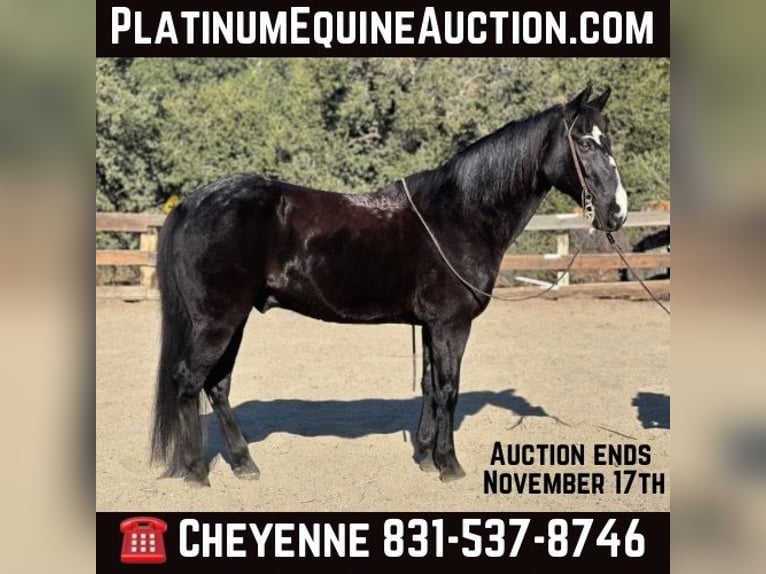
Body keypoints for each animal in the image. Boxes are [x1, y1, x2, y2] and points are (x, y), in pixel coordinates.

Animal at [150, 84, 628, 486]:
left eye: (608, 140)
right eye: (585, 142)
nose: (617, 211)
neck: (461, 214)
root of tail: (193, 203)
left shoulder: (432, 325)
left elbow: (430, 386)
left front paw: (425, 455)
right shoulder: (452, 324)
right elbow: (449, 389)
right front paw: (450, 465)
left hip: (234, 319)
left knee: (217, 386)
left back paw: (245, 464)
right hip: (217, 320)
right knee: (188, 380)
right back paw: (197, 472)